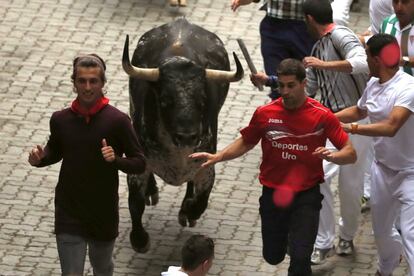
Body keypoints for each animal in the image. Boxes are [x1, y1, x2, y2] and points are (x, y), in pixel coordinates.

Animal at [121, 17, 243, 252]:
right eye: (165, 100)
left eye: (202, 100)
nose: (187, 136)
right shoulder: (138, 166)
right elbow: (135, 204)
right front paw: (139, 239)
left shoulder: (206, 164)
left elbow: (201, 199)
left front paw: (188, 210)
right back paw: (151, 191)